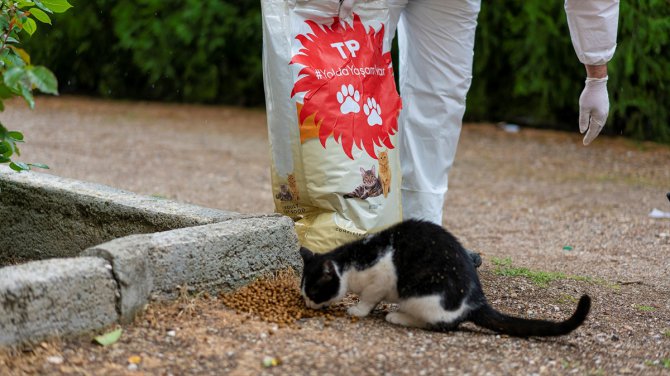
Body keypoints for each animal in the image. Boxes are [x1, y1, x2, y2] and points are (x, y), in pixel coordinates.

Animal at [304, 219, 592, 336]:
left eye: (313, 292)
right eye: (305, 293)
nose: (306, 304)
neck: (351, 263)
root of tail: (476, 300)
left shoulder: (380, 279)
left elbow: (368, 298)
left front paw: (358, 310)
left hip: (422, 295)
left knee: (442, 324)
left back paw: (398, 316)